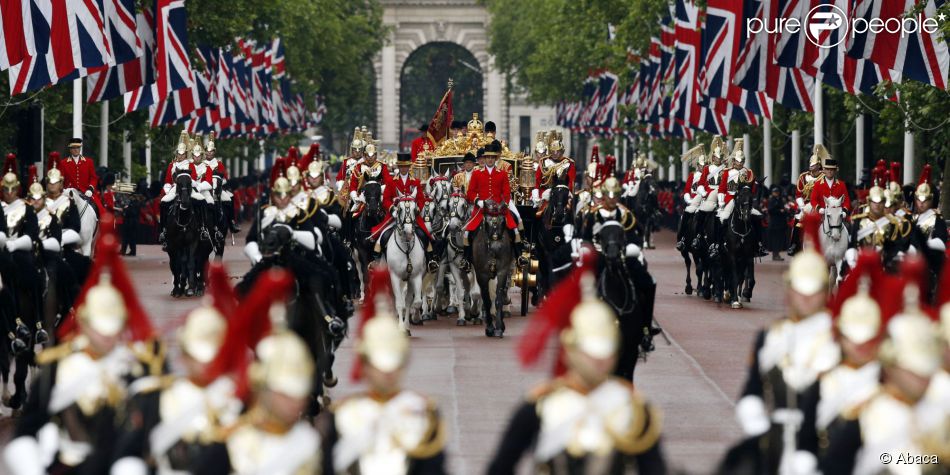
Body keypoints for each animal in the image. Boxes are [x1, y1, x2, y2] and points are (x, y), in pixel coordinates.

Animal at [388, 199, 430, 336]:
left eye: (415, 209)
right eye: (400, 209)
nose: (408, 232)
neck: (406, 249)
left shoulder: (415, 277)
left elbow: (415, 302)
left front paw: (413, 319)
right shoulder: (395, 277)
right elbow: (399, 304)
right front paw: (400, 327)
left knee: (407, 299)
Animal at [470, 201, 512, 338]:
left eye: (503, 220)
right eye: (486, 221)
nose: (497, 247)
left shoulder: (502, 272)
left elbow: (498, 298)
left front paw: (499, 327)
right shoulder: (481, 275)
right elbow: (486, 300)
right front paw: (489, 328)